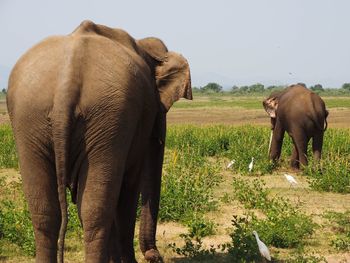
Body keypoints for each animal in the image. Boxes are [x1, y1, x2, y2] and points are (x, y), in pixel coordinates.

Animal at [5, 20, 191, 263]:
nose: (155, 256)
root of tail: (66, 84)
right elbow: (129, 187)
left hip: (35, 118)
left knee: (47, 212)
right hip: (103, 116)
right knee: (95, 210)